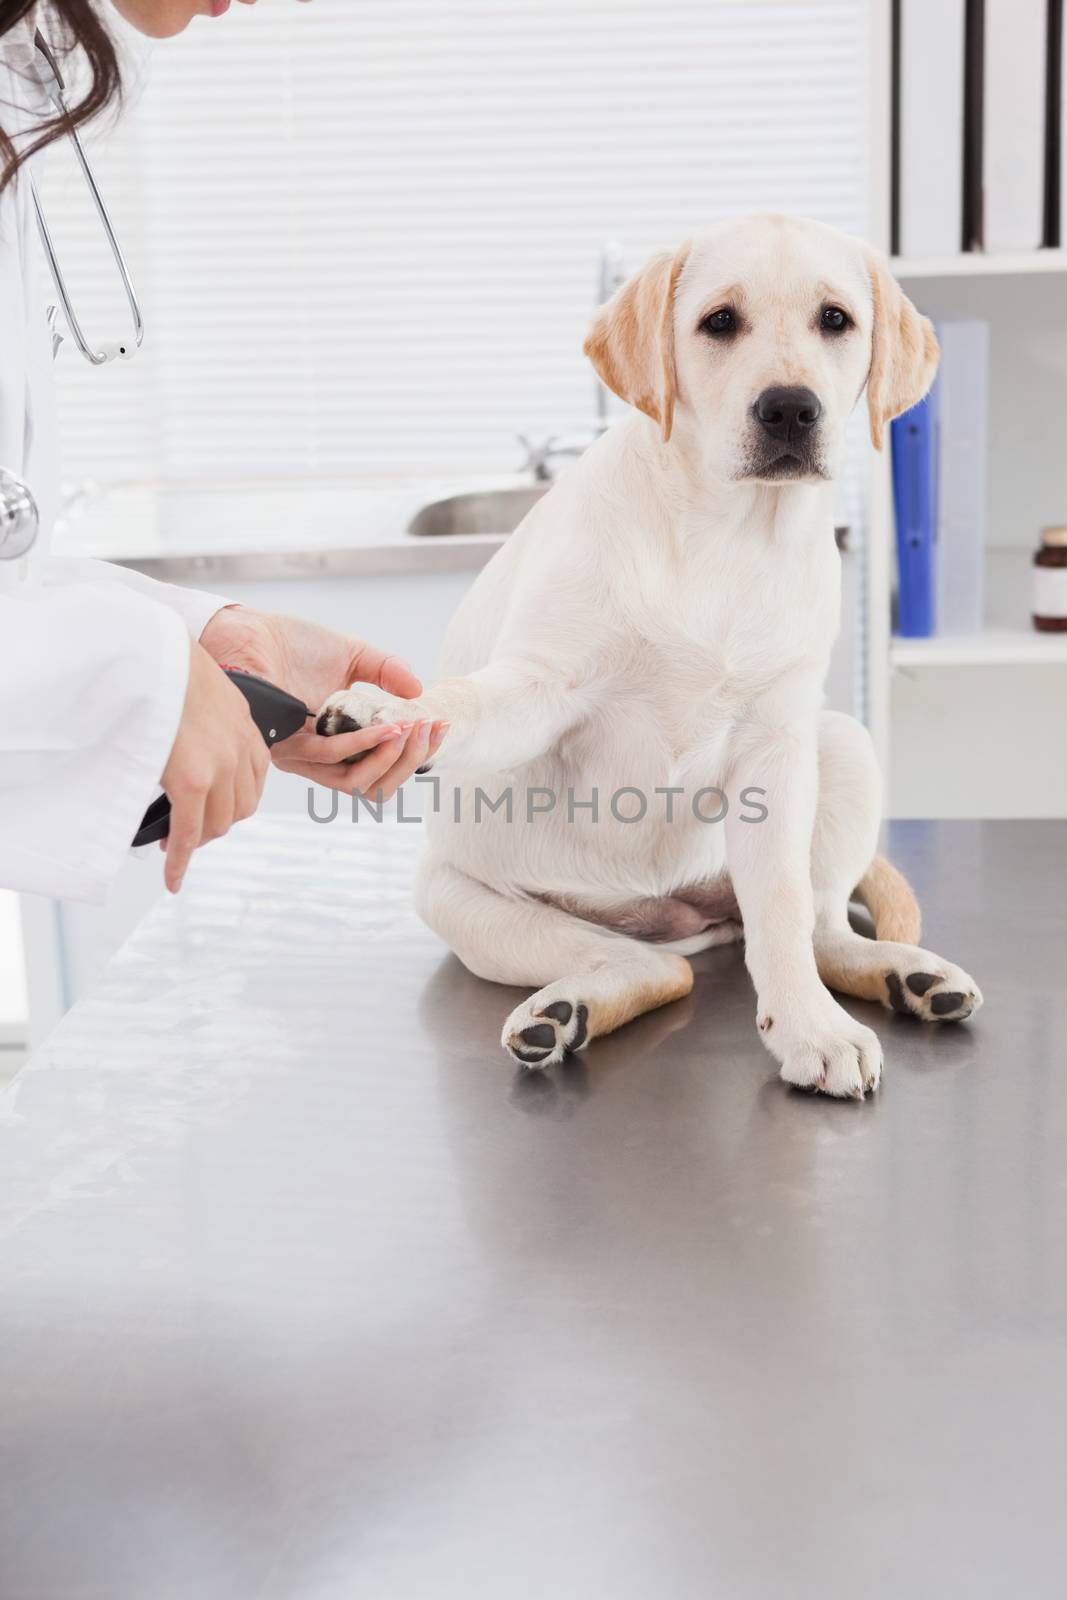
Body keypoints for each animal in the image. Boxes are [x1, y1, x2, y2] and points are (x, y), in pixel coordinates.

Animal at [321, 216, 979, 1100]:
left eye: (835, 320)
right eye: (719, 322)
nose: (788, 408)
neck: (726, 535)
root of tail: (673, 914)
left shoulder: (776, 746)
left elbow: (779, 912)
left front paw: (806, 1030)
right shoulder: (541, 686)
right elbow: (467, 700)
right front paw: (390, 708)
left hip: (839, 744)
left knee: (812, 928)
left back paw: (903, 977)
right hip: (461, 900)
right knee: (657, 971)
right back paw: (562, 1011)